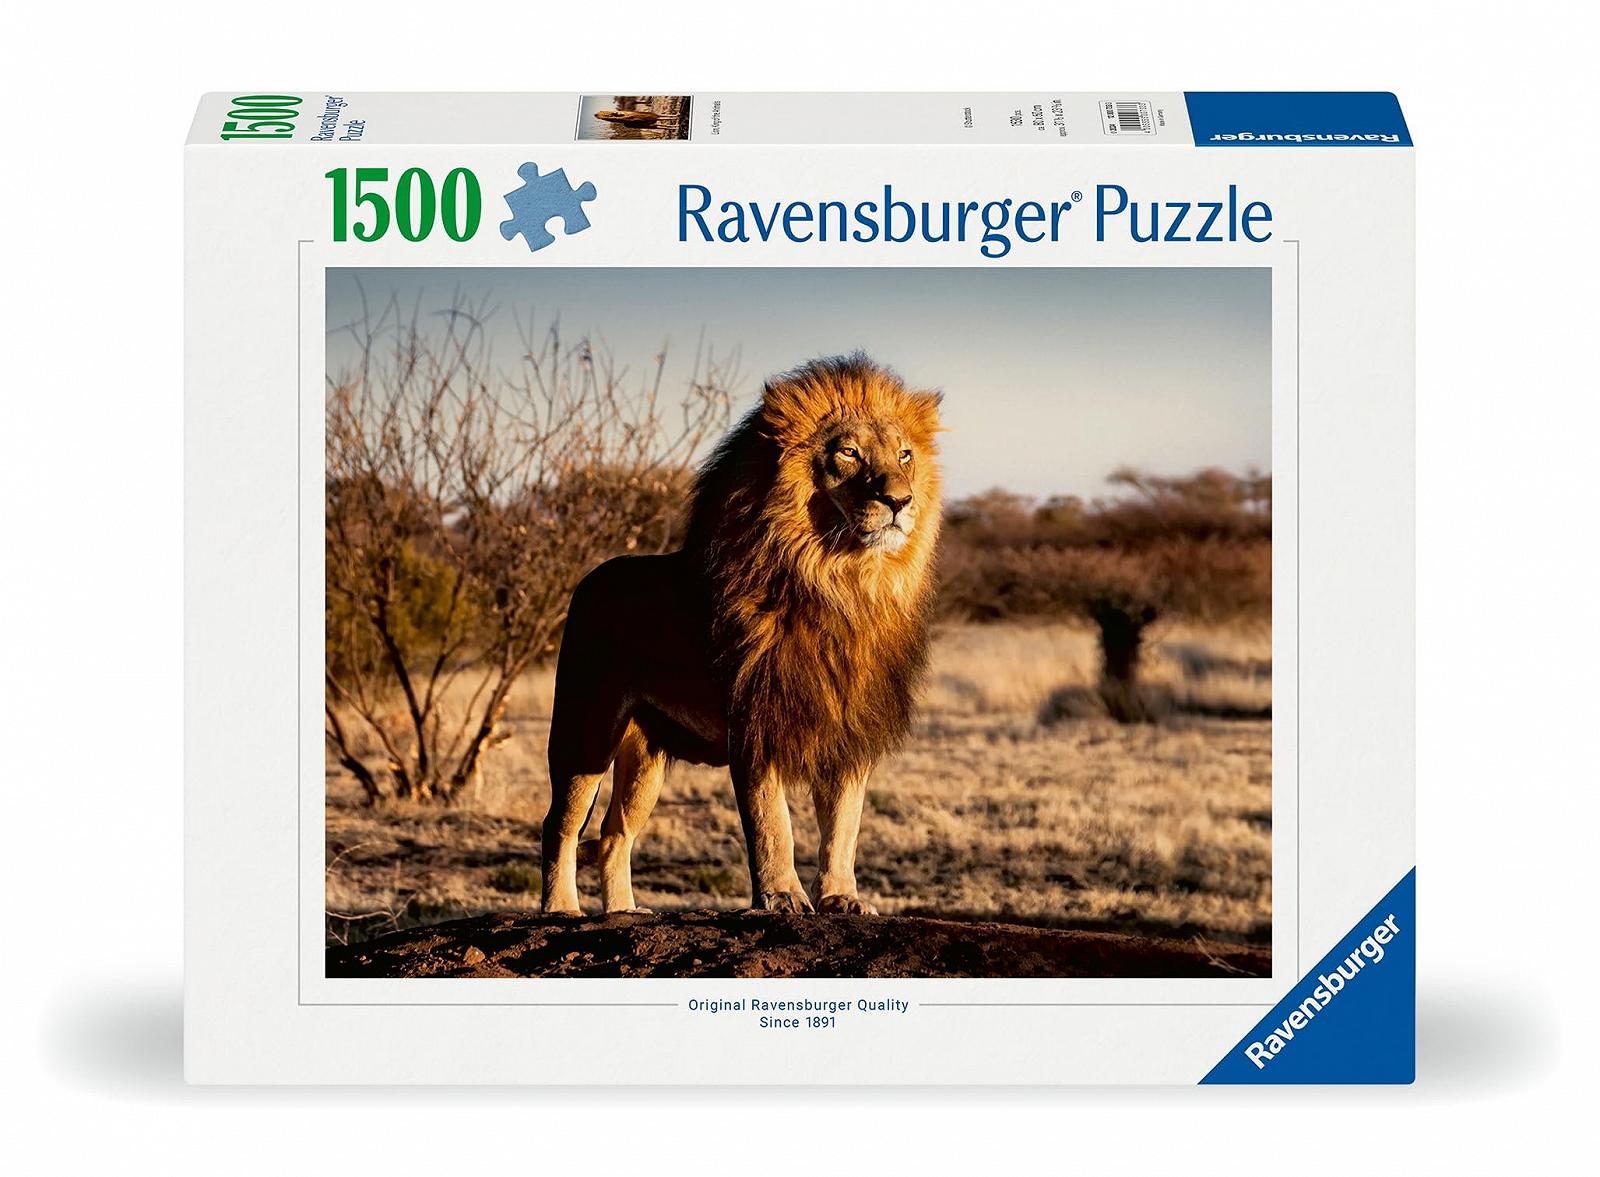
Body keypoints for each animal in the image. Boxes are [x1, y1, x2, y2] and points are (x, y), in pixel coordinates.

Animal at [541, 354, 944, 916]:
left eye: (905, 455)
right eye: (849, 453)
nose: (900, 500)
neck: (842, 583)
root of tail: (590, 577)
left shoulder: (849, 728)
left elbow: (844, 826)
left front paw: (841, 897)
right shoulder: (755, 721)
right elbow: (773, 823)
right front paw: (782, 897)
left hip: (644, 757)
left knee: (614, 833)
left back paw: (623, 911)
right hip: (586, 730)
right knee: (560, 824)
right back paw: (560, 908)